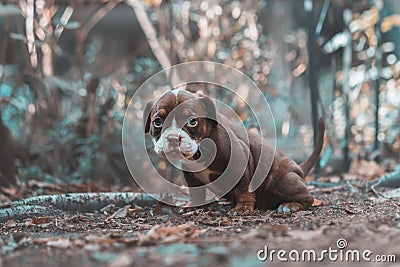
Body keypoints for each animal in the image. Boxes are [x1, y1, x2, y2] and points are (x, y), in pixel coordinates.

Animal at [144, 89, 324, 215]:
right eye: (157, 122)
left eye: (192, 121)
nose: (173, 138)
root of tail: (299, 168)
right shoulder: (191, 175)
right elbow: (196, 192)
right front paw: (191, 206)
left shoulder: (239, 160)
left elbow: (243, 188)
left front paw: (242, 208)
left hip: (284, 180)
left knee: (308, 198)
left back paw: (289, 206)